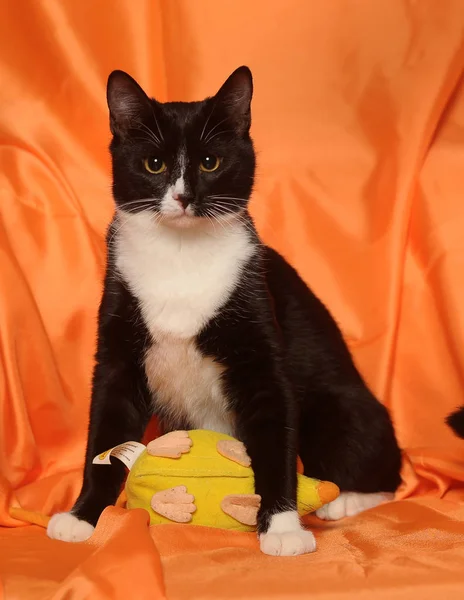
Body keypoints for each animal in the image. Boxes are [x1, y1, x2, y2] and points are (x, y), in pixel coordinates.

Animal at [48, 67, 402, 556]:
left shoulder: (259, 338)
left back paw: (343, 500)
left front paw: (283, 526)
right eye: (154, 164)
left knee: (380, 465)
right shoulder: (118, 348)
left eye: (210, 162)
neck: (180, 255)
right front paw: (83, 516)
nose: (182, 197)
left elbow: (274, 427)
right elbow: (105, 435)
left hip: (341, 404)